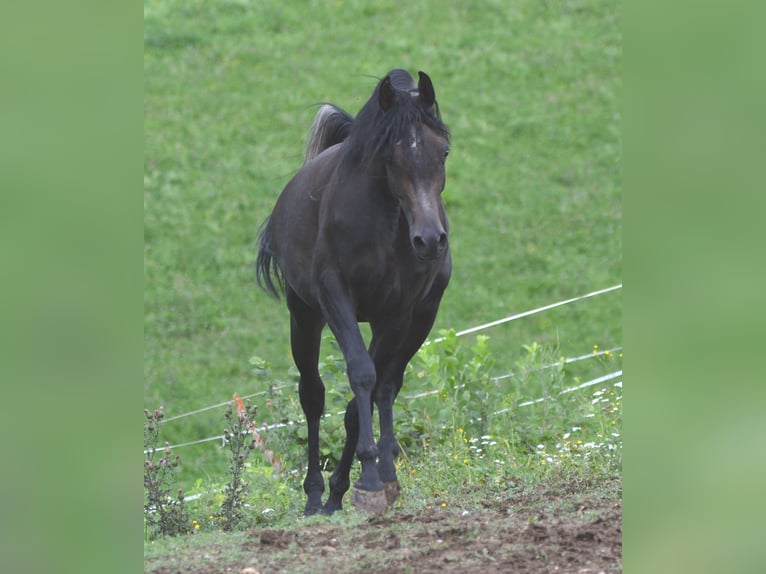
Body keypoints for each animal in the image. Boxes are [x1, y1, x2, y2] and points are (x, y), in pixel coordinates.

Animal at [256, 69, 451, 515]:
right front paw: (368, 479)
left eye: (444, 153)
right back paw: (315, 496)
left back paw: (343, 490)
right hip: (304, 316)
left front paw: (376, 478)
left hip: (420, 321)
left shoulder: (397, 313)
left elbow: (374, 390)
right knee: (312, 396)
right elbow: (360, 374)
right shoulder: (335, 298)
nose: (430, 240)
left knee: (385, 387)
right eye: (391, 157)